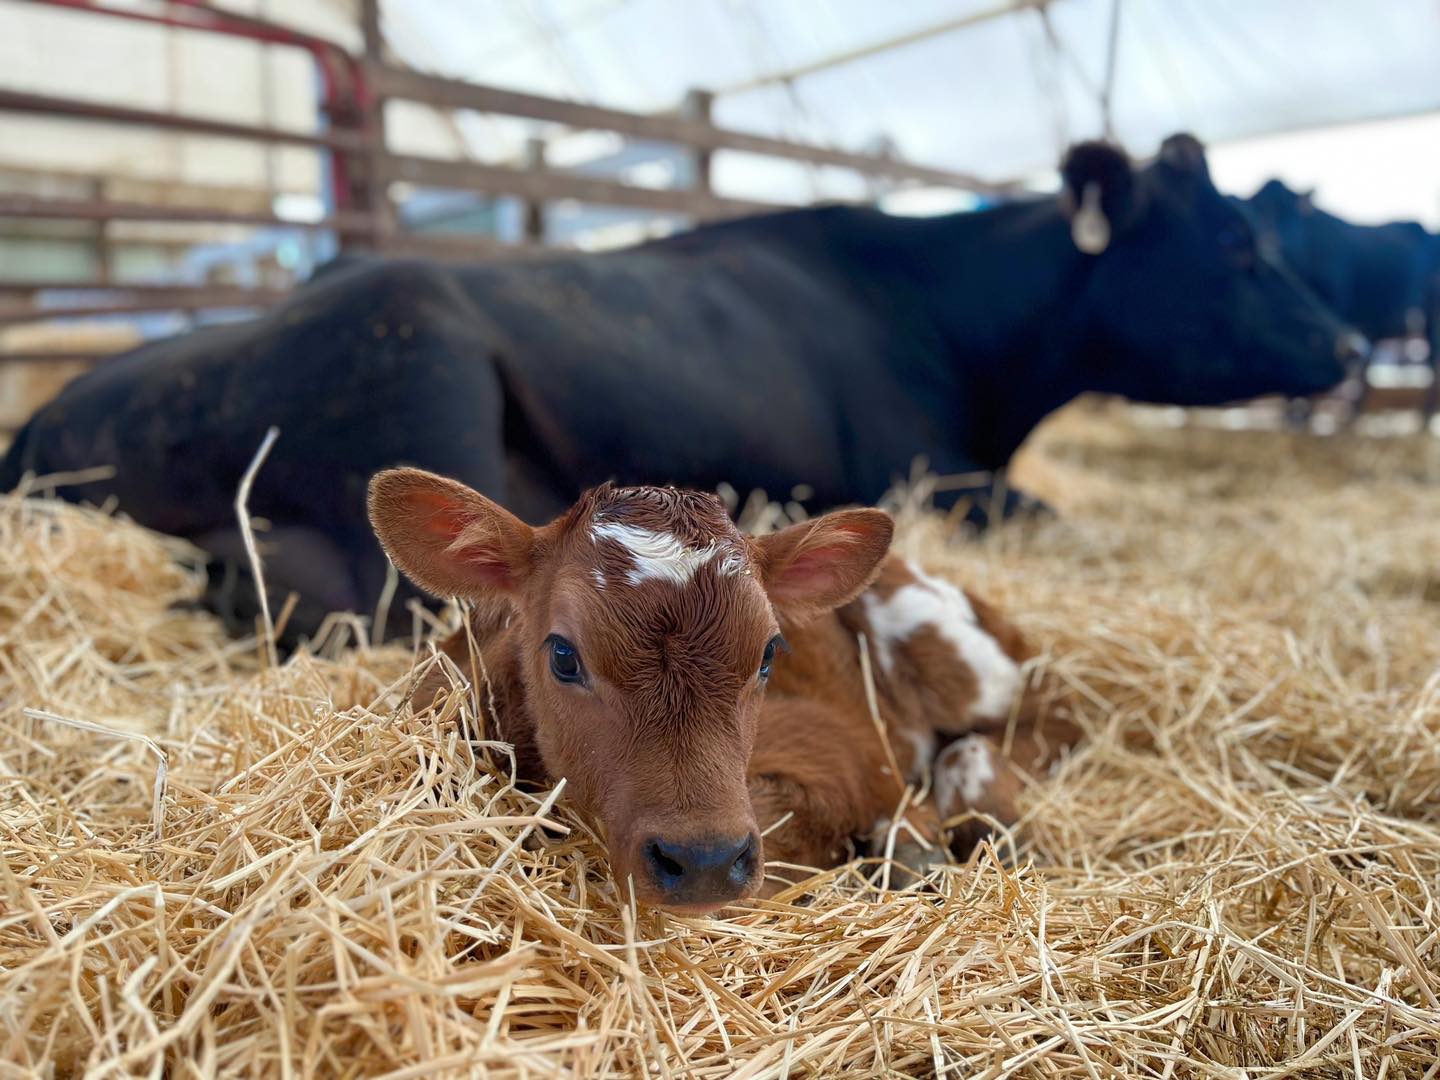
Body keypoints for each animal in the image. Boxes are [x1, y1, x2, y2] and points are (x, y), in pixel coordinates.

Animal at [368, 468, 1078, 912]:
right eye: (564, 657)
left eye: (769, 654)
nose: (705, 861)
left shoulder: (842, 750)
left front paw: (914, 844)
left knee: (1044, 718)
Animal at [1245, 179, 1440, 418]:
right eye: (1255, 210)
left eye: (1289, 211)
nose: (1270, 242)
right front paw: (1291, 414)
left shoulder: (1334, 306)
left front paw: (1303, 415)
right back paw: (1352, 414)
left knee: (1431, 361)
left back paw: (1423, 415)